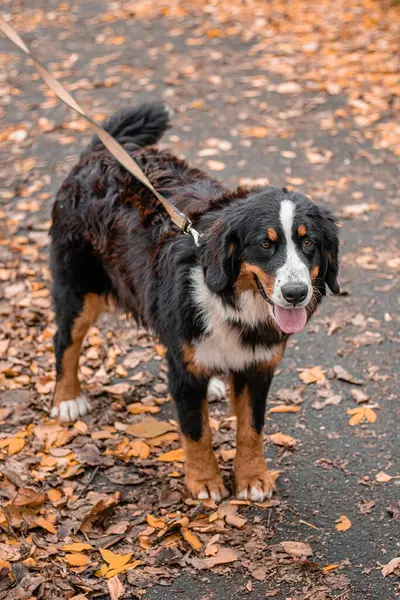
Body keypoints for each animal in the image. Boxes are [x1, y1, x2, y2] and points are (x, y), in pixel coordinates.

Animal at [48, 102, 340, 502]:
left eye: (308, 242)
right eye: (265, 244)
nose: (296, 294)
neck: (233, 302)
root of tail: (100, 152)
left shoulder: (259, 365)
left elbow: (251, 428)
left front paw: (252, 477)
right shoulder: (185, 370)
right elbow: (196, 430)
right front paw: (205, 481)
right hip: (79, 289)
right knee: (66, 340)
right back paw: (67, 399)